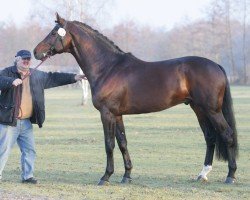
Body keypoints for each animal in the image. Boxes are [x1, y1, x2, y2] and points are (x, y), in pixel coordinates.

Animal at [33, 14, 238, 185]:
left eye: (53, 33)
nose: (36, 52)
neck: (108, 68)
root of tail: (216, 65)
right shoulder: (117, 115)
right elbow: (123, 143)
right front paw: (126, 175)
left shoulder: (106, 114)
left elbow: (109, 144)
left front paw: (105, 176)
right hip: (199, 109)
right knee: (210, 137)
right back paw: (202, 174)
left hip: (212, 110)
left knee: (227, 135)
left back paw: (230, 175)